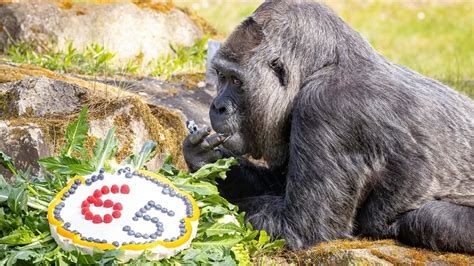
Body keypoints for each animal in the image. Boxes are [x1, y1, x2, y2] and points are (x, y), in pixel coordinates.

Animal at [182, 0, 474, 254]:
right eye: (221, 76)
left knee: (428, 219)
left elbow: (301, 227)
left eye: (236, 81)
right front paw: (206, 160)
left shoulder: (326, 109)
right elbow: (275, 183)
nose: (217, 106)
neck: (324, 64)